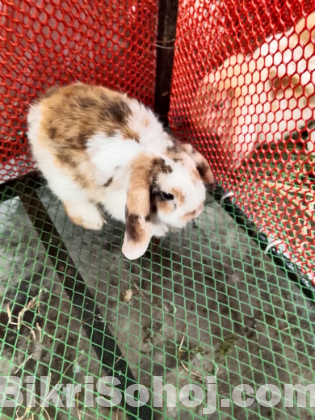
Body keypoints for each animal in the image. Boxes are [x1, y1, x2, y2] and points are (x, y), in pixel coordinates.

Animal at [27, 83, 215, 260]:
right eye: (167, 195)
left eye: (196, 172)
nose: (195, 211)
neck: (150, 153)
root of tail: (40, 107)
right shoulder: (118, 201)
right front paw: (161, 230)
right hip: (64, 180)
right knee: (74, 202)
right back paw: (95, 221)